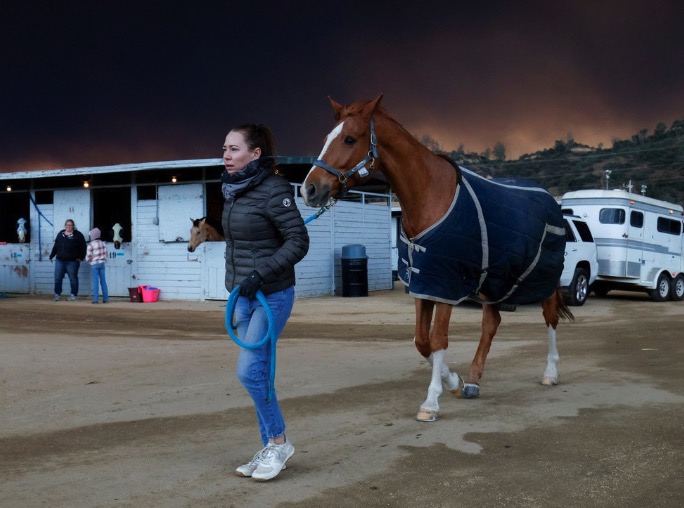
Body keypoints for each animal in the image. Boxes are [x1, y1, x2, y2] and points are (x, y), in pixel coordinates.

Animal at [302, 95, 576, 420]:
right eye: (325, 139)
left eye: (349, 139)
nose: (309, 189)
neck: (430, 196)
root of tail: (551, 200)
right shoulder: (424, 283)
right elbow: (422, 341)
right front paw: (455, 382)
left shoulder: (446, 283)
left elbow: (438, 339)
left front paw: (431, 401)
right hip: (493, 280)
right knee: (491, 322)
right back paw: (474, 380)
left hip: (543, 277)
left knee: (549, 318)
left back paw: (550, 372)